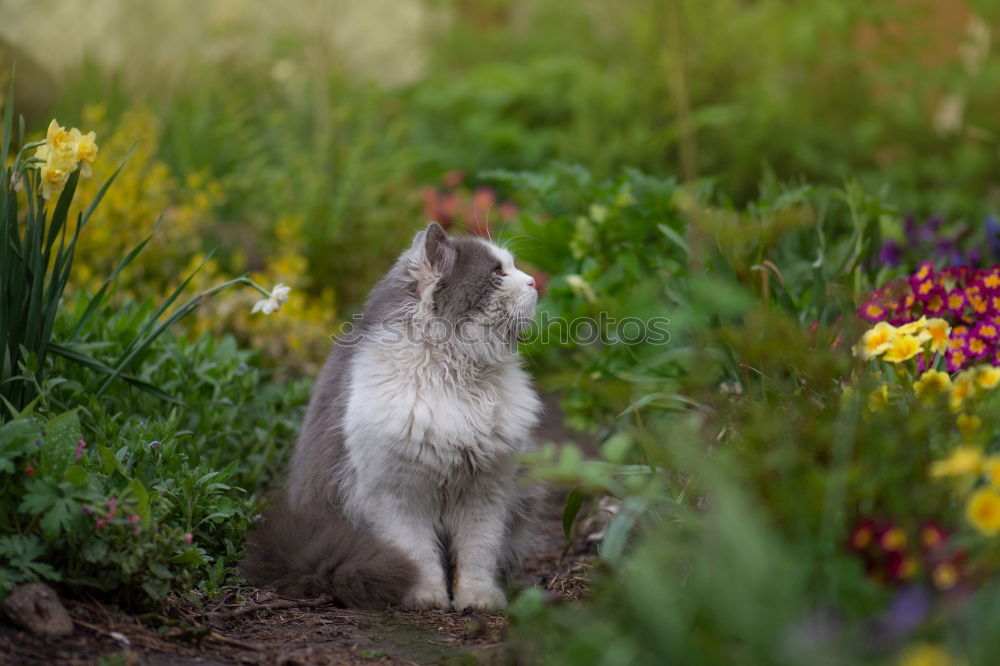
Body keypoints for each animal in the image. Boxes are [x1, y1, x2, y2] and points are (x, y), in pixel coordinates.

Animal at [243, 222, 544, 608]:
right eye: (497, 272)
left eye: (512, 267)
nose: (534, 281)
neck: (456, 378)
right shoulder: (398, 497)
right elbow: (417, 555)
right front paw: (425, 596)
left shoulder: (487, 492)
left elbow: (477, 555)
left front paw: (477, 600)